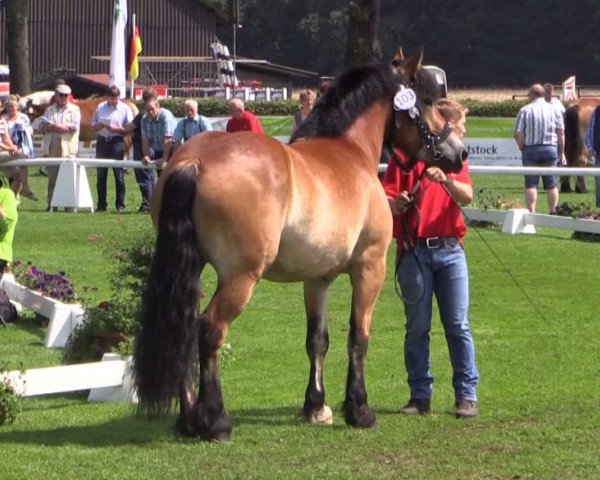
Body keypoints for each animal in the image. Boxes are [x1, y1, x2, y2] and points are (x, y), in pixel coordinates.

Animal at [134, 50, 466, 440]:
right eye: (427, 101)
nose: (459, 153)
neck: (351, 150)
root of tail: (194, 161)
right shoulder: (370, 267)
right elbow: (359, 336)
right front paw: (359, 410)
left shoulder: (317, 278)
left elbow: (317, 339)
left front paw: (316, 407)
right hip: (241, 277)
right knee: (210, 330)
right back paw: (214, 421)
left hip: (193, 270)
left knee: (184, 329)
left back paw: (188, 420)